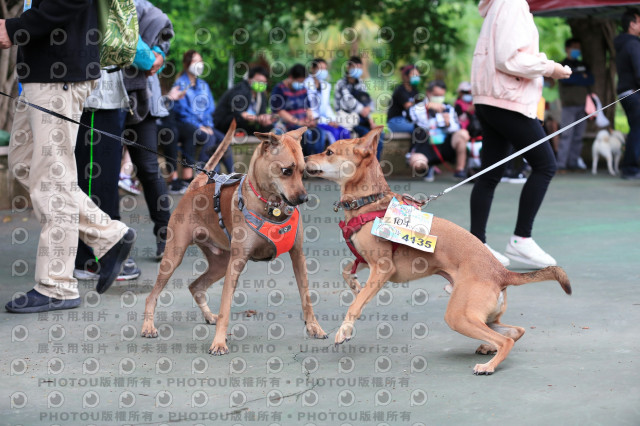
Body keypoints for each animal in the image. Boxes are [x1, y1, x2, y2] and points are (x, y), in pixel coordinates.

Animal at [304, 128, 568, 374]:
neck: (369, 201)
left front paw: (344, 330)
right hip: (480, 316)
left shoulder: (382, 268)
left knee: (505, 340)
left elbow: (355, 305)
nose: (304, 156)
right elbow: (347, 271)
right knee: (515, 331)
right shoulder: (366, 261)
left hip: (459, 315)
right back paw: (487, 347)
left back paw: (489, 365)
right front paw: (355, 285)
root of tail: (501, 272)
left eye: (329, 152)